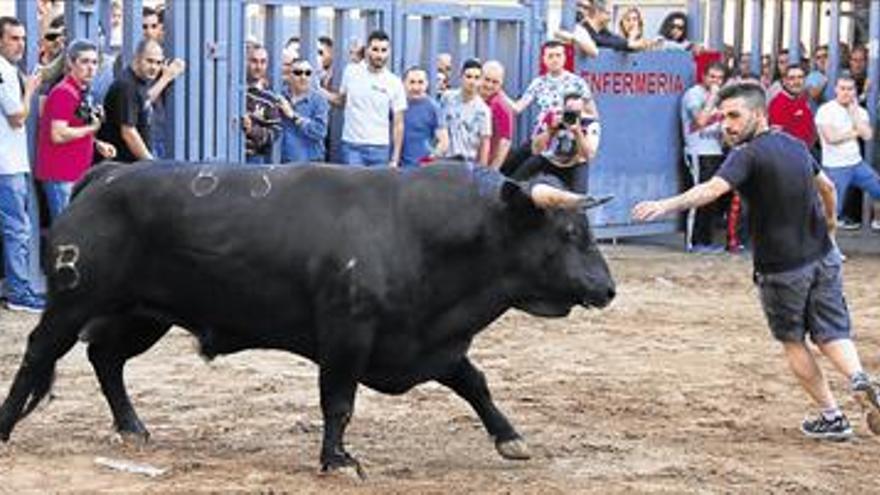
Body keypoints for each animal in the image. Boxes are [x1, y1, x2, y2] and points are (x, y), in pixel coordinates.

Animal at [0, 163, 616, 476]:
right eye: (568, 234)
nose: (608, 289)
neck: (420, 230)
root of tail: (106, 175)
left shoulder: (426, 342)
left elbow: (474, 382)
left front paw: (510, 438)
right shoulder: (346, 333)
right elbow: (338, 400)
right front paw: (337, 459)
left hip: (141, 315)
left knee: (104, 356)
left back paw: (132, 426)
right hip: (74, 303)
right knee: (38, 354)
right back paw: (6, 427)